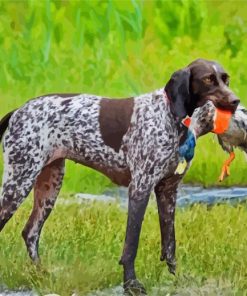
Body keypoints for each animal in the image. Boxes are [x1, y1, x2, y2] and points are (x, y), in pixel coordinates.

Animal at [0, 59, 239, 294]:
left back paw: (42, 275)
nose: (236, 101)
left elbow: (169, 243)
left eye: (225, 78)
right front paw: (131, 284)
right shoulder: (140, 189)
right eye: (208, 79)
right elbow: (131, 245)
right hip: (19, 182)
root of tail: (18, 111)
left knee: (30, 232)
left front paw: (176, 278)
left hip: (49, 186)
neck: (170, 116)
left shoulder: (168, 191)